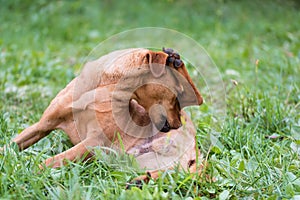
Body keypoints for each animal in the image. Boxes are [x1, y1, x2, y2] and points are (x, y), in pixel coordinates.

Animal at [5, 48, 203, 180]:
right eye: (177, 94)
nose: (178, 124)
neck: (104, 88)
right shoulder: (43, 126)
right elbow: (11, 146)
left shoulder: (94, 142)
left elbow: (49, 161)